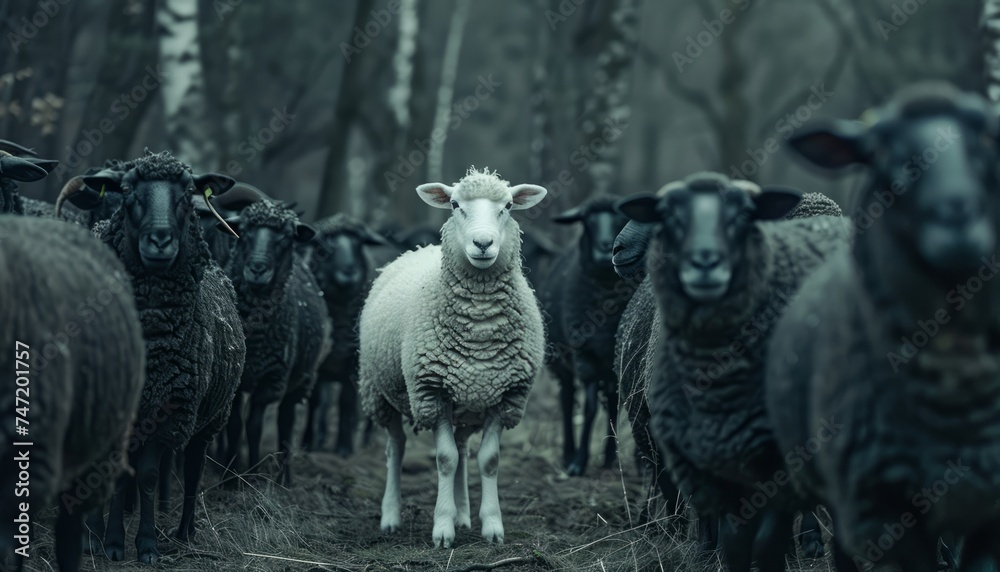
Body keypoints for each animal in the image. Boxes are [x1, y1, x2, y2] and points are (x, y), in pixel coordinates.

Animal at [58, 150, 245, 564]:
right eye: (127, 189)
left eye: (188, 192)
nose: (160, 240)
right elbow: (116, 474)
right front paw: (110, 542)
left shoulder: (171, 410)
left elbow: (145, 475)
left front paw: (145, 544)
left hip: (210, 419)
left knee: (192, 469)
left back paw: (185, 532)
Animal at [220, 199, 332, 486]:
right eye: (244, 231)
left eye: (285, 237)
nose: (257, 269)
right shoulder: (237, 377)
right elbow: (234, 425)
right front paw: (229, 477)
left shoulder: (272, 380)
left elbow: (255, 425)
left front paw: (250, 474)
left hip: (300, 380)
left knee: (286, 421)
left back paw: (284, 479)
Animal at [302, 213, 388, 456]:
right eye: (325, 246)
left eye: (358, 244)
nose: (349, 270)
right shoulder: (318, 364)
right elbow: (315, 402)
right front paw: (308, 442)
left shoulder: (353, 363)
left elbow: (346, 403)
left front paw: (345, 447)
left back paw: (366, 439)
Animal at [359, 167, 547, 548]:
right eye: (456, 205)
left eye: (508, 206)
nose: (483, 243)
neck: (480, 325)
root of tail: (422, 248)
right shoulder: (433, 391)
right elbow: (445, 459)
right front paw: (442, 529)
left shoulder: (507, 394)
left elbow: (488, 461)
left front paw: (491, 526)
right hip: (380, 393)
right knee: (396, 447)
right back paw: (391, 517)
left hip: (468, 403)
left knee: (462, 449)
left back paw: (463, 514)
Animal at [540, 195, 630, 476]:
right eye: (587, 222)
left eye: (620, 218)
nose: (605, 250)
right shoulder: (584, 355)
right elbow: (589, 410)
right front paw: (578, 462)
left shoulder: (616, 359)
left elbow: (613, 406)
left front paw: (608, 458)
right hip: (561, 362)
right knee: (567, 400)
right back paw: (568, 452)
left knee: (610, 401)